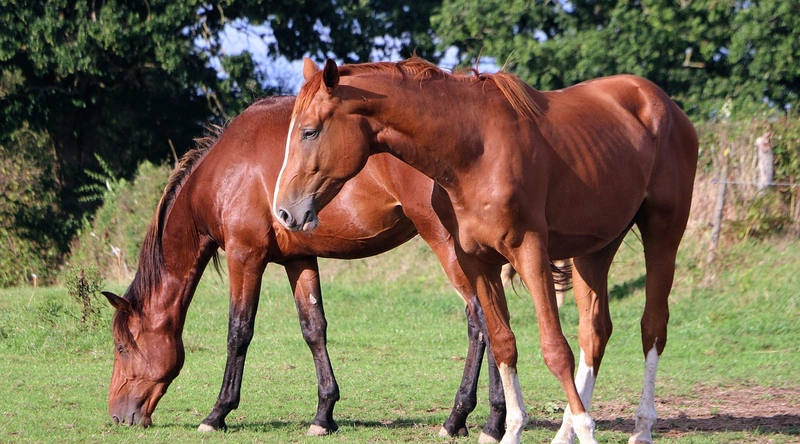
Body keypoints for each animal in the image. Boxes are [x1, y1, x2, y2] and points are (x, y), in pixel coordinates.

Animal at [100, 95, 512, 441]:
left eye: (121, 347)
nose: (117, 416)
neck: (226, 170)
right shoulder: (298, 259)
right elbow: (314, 329)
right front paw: (323, 414)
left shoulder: (244, 257)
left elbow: (239, 331)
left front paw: (217, 414)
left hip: (448, 245)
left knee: (481, 321)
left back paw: (475, 420)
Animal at [272, 57, 698, 444]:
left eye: (309, 132)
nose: (284, 212)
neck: (473, 153)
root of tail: (663, 103)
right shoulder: (478, 262)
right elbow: (504, 343)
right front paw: (512, 430)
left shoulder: (529, 251)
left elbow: (554, 348)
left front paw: (585, 429)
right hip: (595, 248)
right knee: (594, 332)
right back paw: (565, 433)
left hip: (663, 233)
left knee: (652, 327)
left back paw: (641, 427)